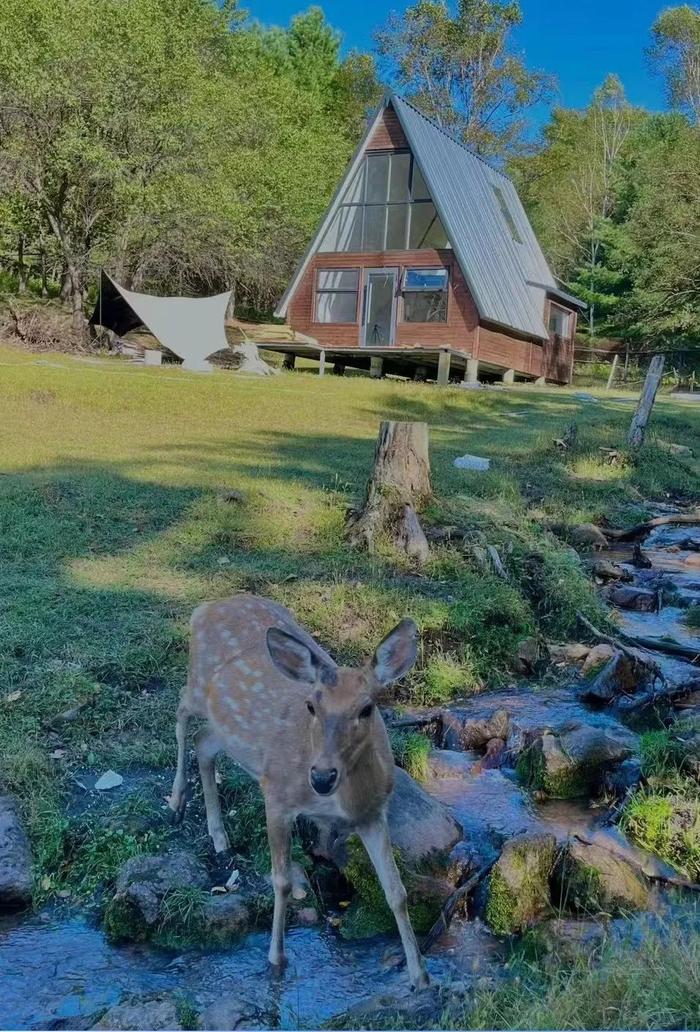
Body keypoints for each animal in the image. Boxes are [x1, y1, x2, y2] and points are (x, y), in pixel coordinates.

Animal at [168, 594, 431, 986]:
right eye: (311, 705)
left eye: (367, 708)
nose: (321, 777)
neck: (342, 803)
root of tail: (204, 608)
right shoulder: (277, 793)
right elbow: (281, 881)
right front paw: (276, 959)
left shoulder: (373, 813)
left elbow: (396, 891)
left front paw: (420, 976)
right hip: (198, 683)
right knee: (182, 709)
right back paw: (176, 800)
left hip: (226, 728)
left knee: (205, 743)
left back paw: (219, 836)